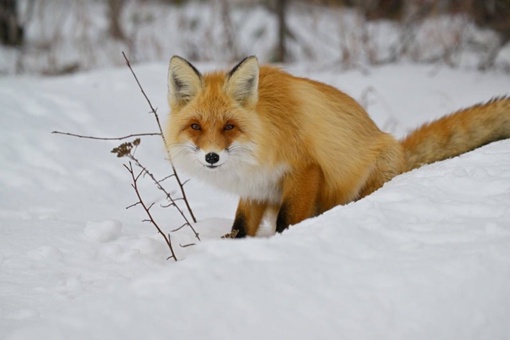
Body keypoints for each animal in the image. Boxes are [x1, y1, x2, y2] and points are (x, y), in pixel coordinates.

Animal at [166, 55, 510, 238]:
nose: (212, 156)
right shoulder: (257, 187)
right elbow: (240, 226)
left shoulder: (305, 169)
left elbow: (287, 221)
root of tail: (398, 150)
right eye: (196, 126)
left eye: (229, 126)